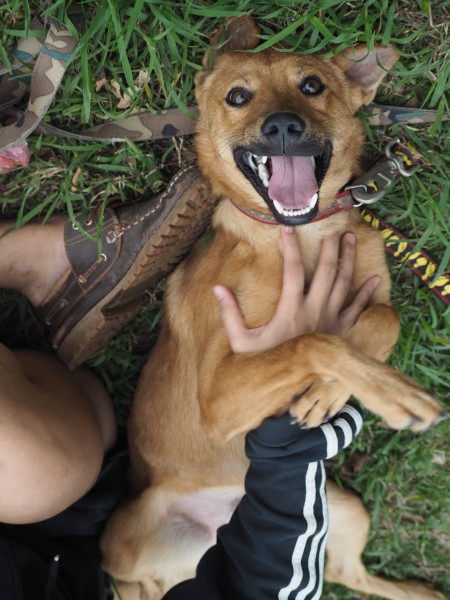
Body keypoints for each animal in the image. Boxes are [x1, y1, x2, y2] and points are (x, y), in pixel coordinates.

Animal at [101, 16, 442, 600]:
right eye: (238, 96)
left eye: (312, 85)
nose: (282, 126)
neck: (301, 236)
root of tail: (217, 533)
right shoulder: (217, 398)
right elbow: (312, 338)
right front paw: (391, 393)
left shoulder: (372, 297)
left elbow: (383, 319)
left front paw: (331, 392)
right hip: (123, 534)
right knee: (132, 584)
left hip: (344, 509)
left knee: (349, 573)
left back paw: (420, 592)